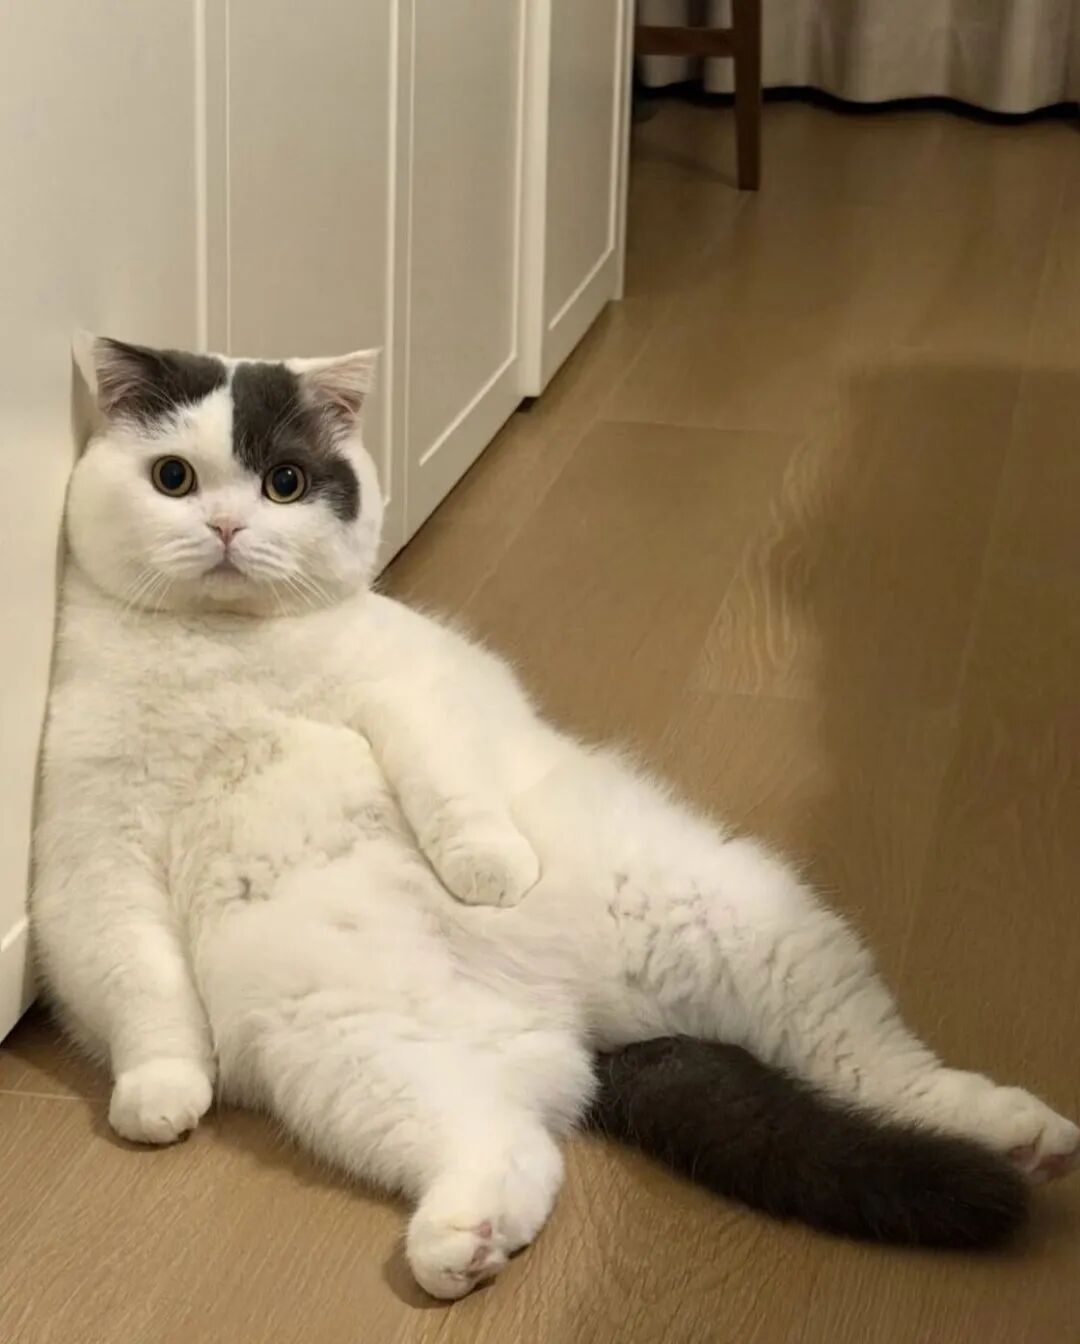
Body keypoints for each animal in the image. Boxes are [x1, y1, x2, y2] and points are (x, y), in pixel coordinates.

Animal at [32, 336, 1078, 1299]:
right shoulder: (94, 853)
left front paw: (488, 871)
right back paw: (462, 1242)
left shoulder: (413, 685)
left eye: (284, 482)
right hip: (360, 1058)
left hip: (743, 925)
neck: (222, 653)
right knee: (514, 1150)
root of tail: (580, 1023)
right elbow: (139, 979)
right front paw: (161, 1090)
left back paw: (1023, 1130)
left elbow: (447, 780)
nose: (224, 525)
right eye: (173, 477)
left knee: (886, 1069)